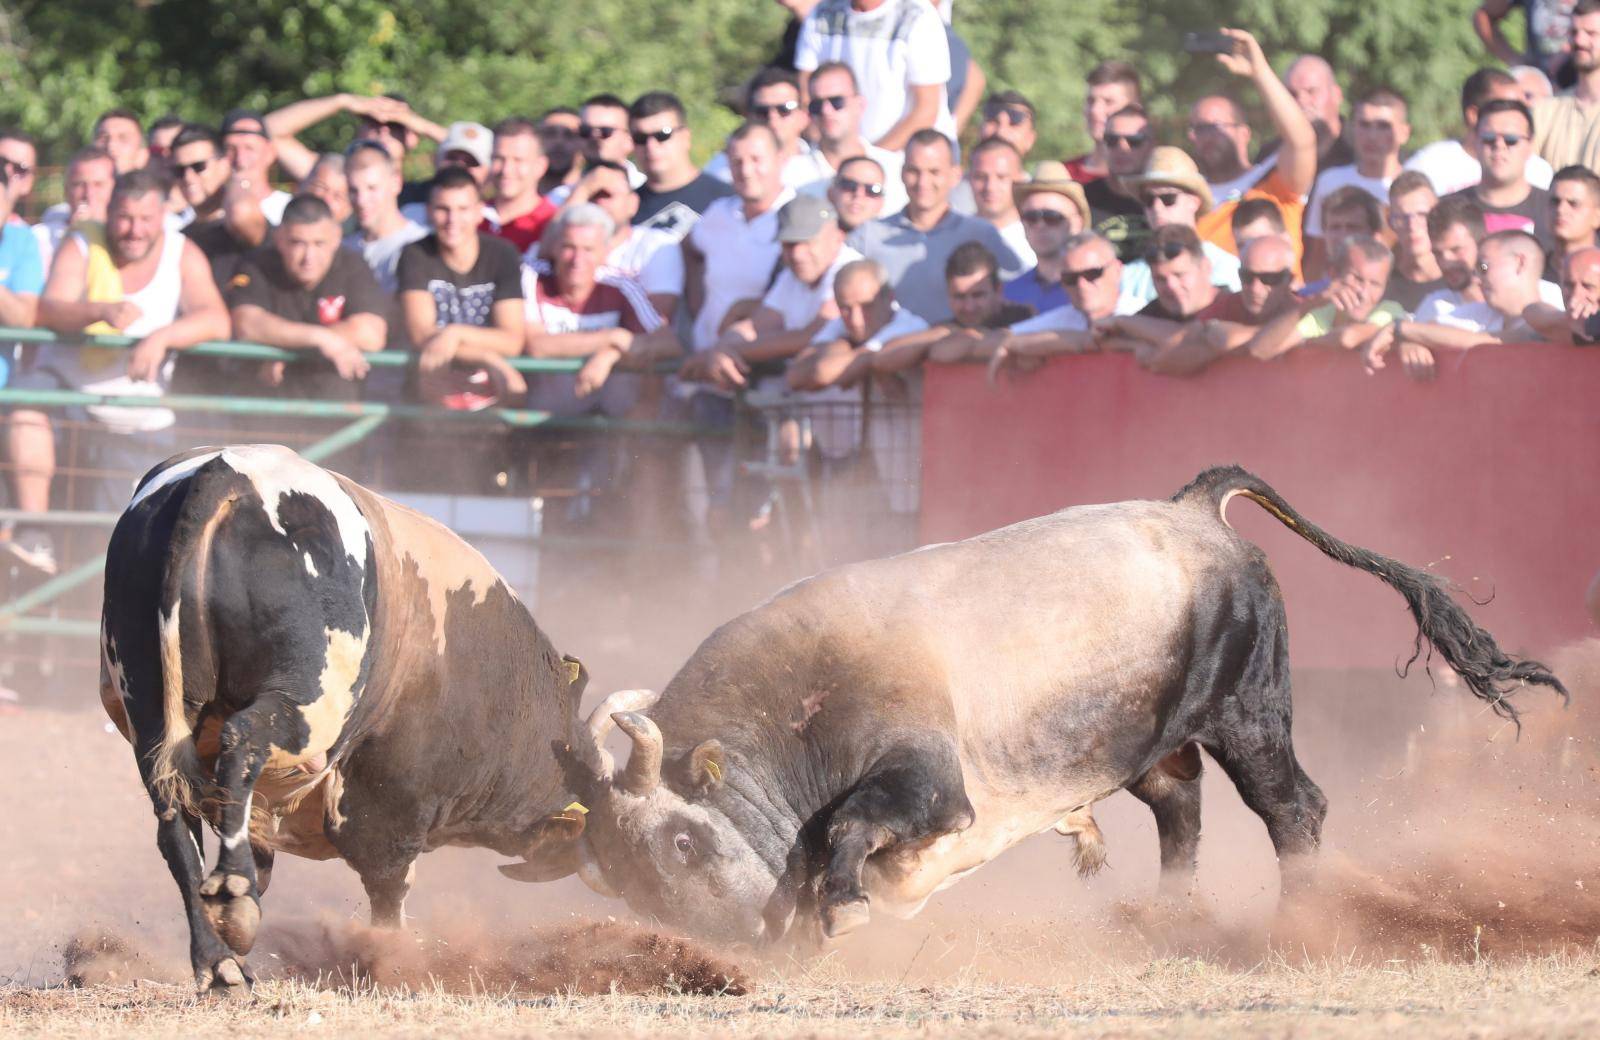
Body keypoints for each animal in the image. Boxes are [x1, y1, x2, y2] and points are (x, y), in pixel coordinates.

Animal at [100, 444, 601, 998]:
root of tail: (228, 471)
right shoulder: (395, 793)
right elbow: (388, 878)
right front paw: (392, 961)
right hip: (305, 700)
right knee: (243, 742)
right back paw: (234, 894)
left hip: (154, 715)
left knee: (176, 826)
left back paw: (219, 959)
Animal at [505, 467, 1568, 940]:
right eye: (618, 884)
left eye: (685, 842)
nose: (739, 948)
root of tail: (1195, 510)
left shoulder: (929, 784)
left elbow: (853, 832)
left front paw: (843, 905)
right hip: (1147, 744)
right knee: (1182, 811)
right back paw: (1162, 917)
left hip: (1250, 710)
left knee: (1292, 807)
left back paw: (1297, 920)